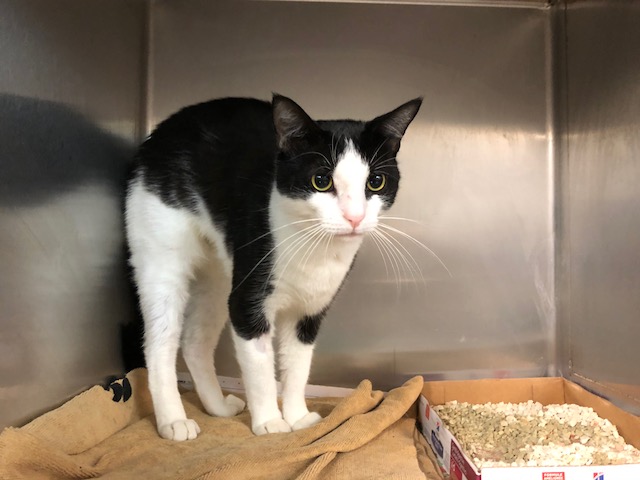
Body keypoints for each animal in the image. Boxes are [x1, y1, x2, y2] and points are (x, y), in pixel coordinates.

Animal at [125, 94, 422, 440]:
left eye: (375, 182)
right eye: (321, 181)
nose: (354, 217)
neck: (315, 247)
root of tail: (158, 134)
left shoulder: (309, 312)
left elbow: (298, 365)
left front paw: (297, 416)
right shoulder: (248, 304)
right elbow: (260, 369)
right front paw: (269, 422)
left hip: (220, 274)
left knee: (195, 340)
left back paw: (217, 407)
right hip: (162, 254)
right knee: (160, 339)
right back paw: (173, 419)